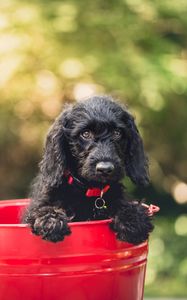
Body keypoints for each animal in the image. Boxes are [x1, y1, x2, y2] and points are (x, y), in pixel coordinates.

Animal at [24, 95, 153, 244]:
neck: (90, 190)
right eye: (85, 134)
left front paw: (132, 219)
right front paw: (50, 221)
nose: (105, 169)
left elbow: (123, 204)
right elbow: (43, 209)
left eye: (117, 133)